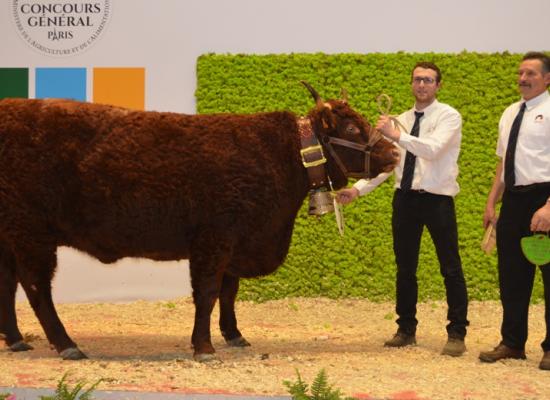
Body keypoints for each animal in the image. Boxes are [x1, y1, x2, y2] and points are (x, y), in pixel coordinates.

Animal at [0, 83, 398, 360]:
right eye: (352, 130)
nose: (394, 152)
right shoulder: (214, 238)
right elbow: (207, 293)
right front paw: (204, 347)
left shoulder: (236, 242)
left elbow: (228, 291)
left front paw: (234, 335)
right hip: (31, 232)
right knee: (36, 288)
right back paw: (68, 345)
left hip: (12, 236)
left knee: (8, 283)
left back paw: (16, 340)